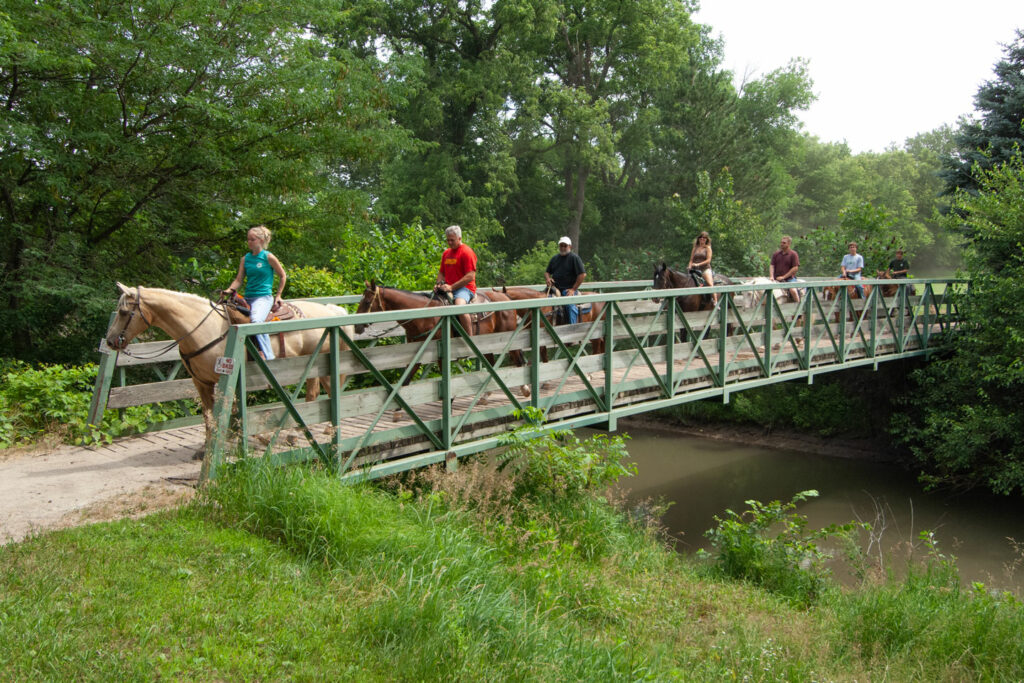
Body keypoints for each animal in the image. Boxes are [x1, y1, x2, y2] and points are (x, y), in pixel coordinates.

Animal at [103, 282, 352, 458]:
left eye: (124, 312)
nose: (111, 341)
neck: (201, 328)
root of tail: (333, 310)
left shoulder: (228, 378)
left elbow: (230, 413)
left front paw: (236, 440)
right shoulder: (201, 383)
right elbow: (209, 416)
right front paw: (207, 448)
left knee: (329, 390)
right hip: (312, 366)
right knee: (314, 394)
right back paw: (297, 433)